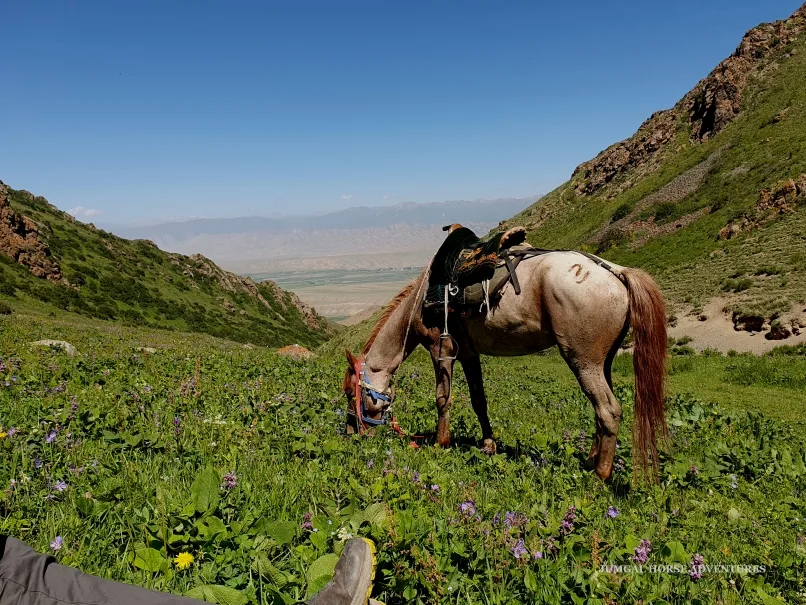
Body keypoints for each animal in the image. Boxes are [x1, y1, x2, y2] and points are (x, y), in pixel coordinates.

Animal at [342, 247, 668, 480]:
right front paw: (488, 445)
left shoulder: (440, 350)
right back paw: (590, 461)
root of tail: (616, 273)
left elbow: (442, 398)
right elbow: (478, 400)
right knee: (602, 411)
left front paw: (441, 442)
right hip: (604, 362)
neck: (420, 303)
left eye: (349, 393)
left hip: (583, 361)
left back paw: (600, 475)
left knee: (608, 410)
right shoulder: (469, 354)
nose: (351, 432)